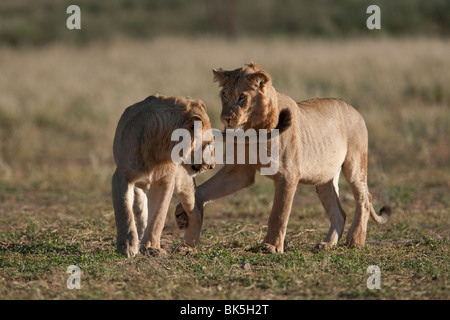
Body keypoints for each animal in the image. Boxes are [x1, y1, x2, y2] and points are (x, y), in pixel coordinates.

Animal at [112, 94, 214, 258]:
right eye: (209, 143)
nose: (212, 166)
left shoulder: (165, 181)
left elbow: (158, 216)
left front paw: (151, 247)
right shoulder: (122, 176)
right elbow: (124, 211)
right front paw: (126, 246)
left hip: (184, 179)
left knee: (196, 209)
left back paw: (187, 246)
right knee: (140, 207)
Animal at [175, 62, 390, 252]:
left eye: (242, 97)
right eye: (224, 95)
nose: (226, 118)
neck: (253, 129)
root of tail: (353, 108)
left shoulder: (288, 175)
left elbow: (278, 213)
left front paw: (271, 246)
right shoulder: (240, 173)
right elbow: (203, 190)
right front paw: (182, 212)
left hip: (355, 165)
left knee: (365, 198)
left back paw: (355, 240)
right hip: (323, 179)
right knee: (339, 212)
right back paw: (327, 244)